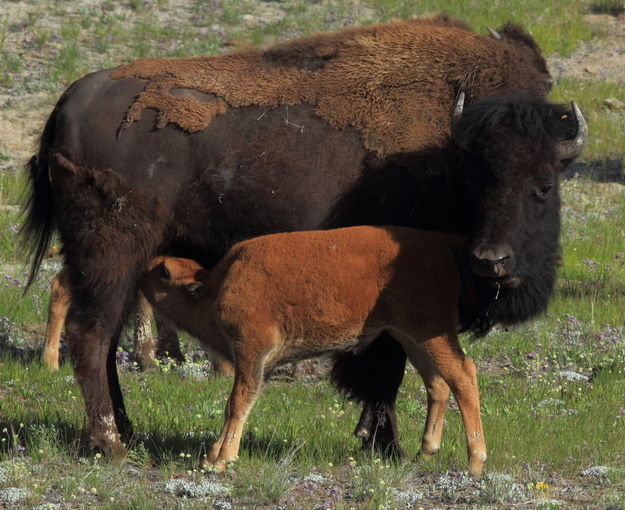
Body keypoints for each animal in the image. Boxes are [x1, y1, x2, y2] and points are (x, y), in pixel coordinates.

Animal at [139, 226, 486, 474]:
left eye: (163, 272)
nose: (145, 265)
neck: (217, 286)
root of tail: (441, 244)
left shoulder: (251, 352)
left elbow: (237, 402)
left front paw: (220, 460)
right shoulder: (260, 362)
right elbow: (242, 401)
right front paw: (213, 454)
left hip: (431, 334)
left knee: (463, 375)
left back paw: (475, 463)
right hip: (410, 337)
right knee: (437, 383)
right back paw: (425, 453)